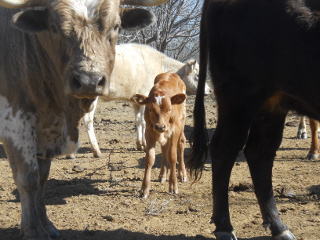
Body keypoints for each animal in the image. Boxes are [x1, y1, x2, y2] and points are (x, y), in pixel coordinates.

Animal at [0, 0, 170, 238]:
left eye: (116, 26)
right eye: (54, 27)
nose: (89, 81)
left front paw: (46, 224)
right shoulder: (15, 121)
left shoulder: (47, 130)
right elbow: (29, 178)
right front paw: (33, 230)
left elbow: (43, 177)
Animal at [74, 43, 212, 158]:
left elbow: (139, 121)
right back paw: (96, 150)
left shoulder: (136, 102)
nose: (210, 90)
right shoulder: (148, 98)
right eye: (198, 75)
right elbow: (145, 121)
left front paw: (140, 144)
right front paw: (145, 145)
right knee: (88, 120)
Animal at [132, 70, 188, 198]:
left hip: (182, 123)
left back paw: (182, 173)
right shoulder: (149, 132)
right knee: (164, 148)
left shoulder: (175, 130)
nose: (160, 126)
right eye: (150, 109)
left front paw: (173, 185)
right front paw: (144, 189)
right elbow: (149, 159)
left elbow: (172, 156)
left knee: (181, 144)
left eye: (169, 109)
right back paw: (163, 174)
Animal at [188, 0, 320, 240]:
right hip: (239, 98)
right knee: (224, 149)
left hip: (272, 104)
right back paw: (225, 227)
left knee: (260, 153)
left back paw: (278, 227)